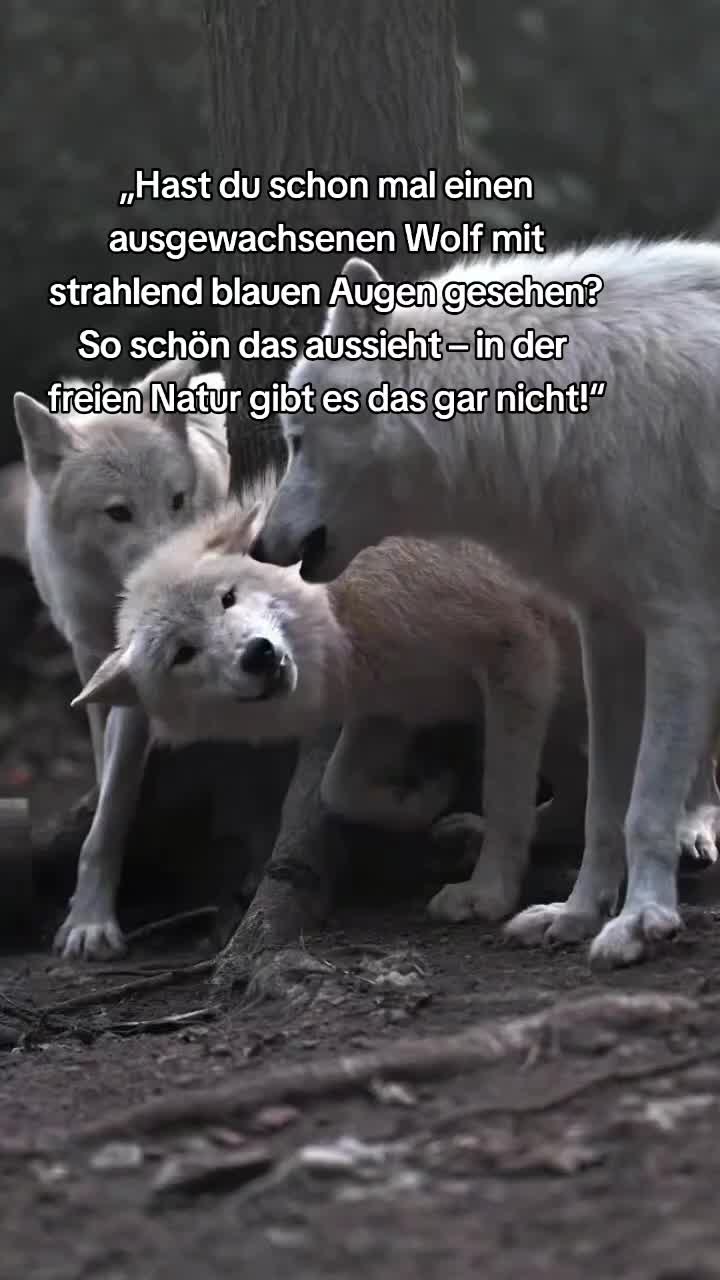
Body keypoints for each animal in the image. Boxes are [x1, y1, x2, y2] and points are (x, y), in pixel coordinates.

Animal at [13, 359, 230, 958]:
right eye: (118, 512)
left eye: (178, 499)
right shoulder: (91, 661)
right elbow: (101, 764)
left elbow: (111, 812)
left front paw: (90, 921)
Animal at [250, 241, 720, 967]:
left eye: (297, 438)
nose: (260, 543)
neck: (570, 415)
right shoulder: (607, 626)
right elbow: (605, 805)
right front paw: (576, 913)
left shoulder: (679, 625)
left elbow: (644, 803)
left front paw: (641, 921)